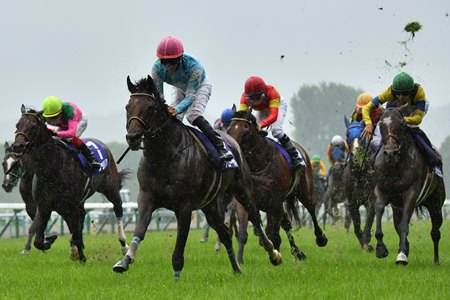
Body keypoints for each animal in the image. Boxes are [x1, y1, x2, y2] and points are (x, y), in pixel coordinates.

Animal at [11, 106, 130, 262]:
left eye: (33, 126)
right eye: (17, 125)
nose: (17, 146)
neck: (52, 168)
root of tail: (103, 145)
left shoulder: (70, 205)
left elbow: (75, 231)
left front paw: (82, 257)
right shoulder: (44, 207)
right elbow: (38, 240)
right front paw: (51, 240)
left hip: (111, 189)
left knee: (118, 210)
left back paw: (123, 245)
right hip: (71, 203)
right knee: (79, 217)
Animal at [112, 76, 282, 280]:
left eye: (150, 108)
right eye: (127, 107)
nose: (133, 137)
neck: (164, 156)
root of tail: (233, 142)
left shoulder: (184, 206)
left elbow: (179, 246)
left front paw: (177, 277)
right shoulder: (146, 198)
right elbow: (140, 230)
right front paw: (124, 260)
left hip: (242, 191)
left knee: (255, 218)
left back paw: (273, 253)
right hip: (210, 206)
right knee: (224, 233)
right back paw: (236, 268)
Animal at [229, 108, 326, 262]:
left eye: (245, 129)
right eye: (229, 128)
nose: (231, 147)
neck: (258, 166)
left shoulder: (274, 201)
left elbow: (274, 231)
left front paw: (275, 254)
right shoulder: (246, 201)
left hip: (304, 191)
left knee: (311, 208)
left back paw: (320, 238)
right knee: (286, 223)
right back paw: (297, 252)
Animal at [372, 108, 442, 264]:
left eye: (402, 123)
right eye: (381, 123)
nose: (390, 152)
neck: (395, 165)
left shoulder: (411, 193)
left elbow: (404, 224)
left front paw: (402, 255)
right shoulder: (381, 189)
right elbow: (379, 208)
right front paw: (381, 248)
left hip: (435, 204)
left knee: (435, 232)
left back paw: (436, 260)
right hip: (396, 207)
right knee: (397, 225)